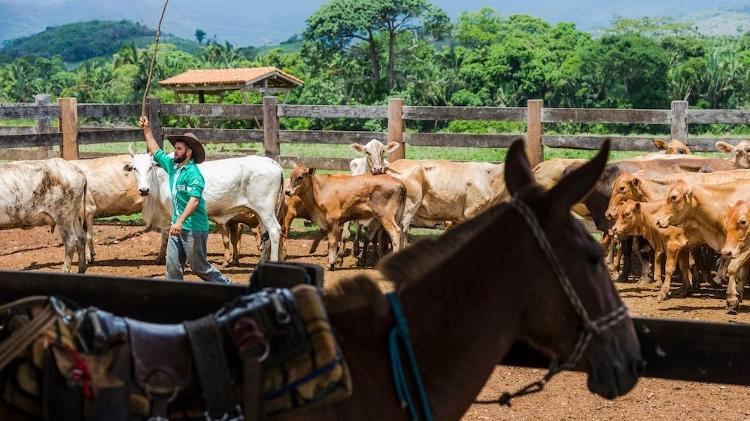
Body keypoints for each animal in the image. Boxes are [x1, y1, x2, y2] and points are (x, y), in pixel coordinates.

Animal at [129, 153, 284, 260]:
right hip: (260, 213)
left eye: (150, 167)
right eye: (134, 168)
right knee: (265, 235)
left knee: (275, 231)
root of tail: (274, 164)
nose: (143, 190)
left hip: (266, 210)